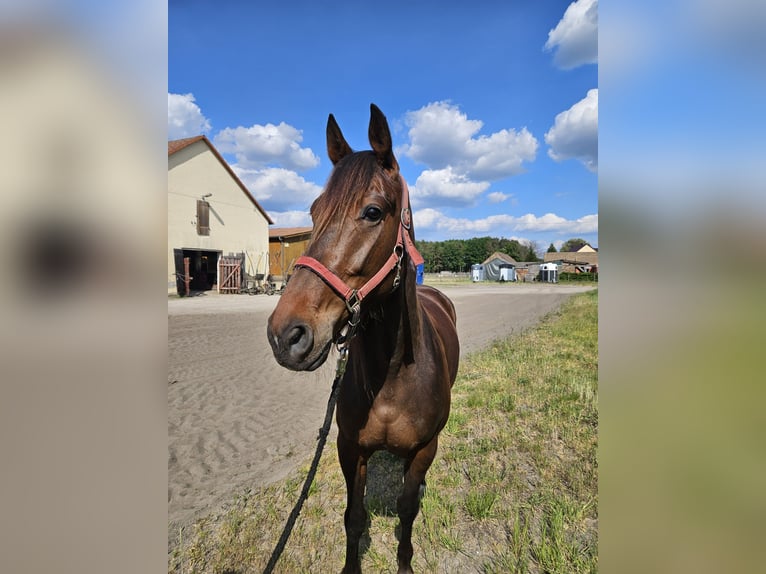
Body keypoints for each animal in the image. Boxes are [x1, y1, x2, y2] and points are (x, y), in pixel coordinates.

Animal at [268, 104, 460, 574]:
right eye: (314, 212)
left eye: (373, 212)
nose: (286, 334)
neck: (393, 374)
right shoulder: (348, 448)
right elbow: (353, 517)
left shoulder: (425, 448)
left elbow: (407, 509)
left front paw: (405, 563)